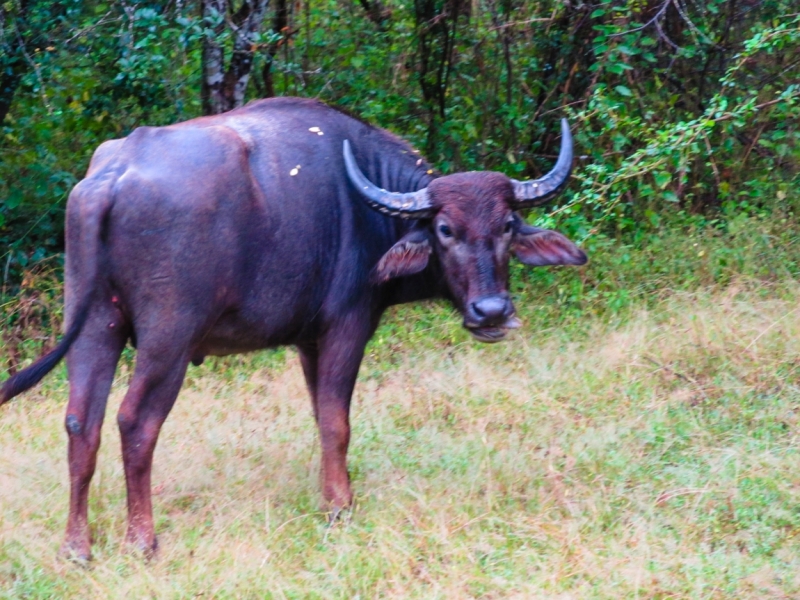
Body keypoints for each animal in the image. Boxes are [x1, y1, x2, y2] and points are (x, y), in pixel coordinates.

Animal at [1, 96, 588, 560]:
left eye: (507, 225)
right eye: (445, 228)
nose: (491, 311)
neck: (370, 211)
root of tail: (112, 176)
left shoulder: (309, 340)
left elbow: (319, 416)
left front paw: (330, 491)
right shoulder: (346, 327)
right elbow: (337, 421)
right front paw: (340, 507)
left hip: (94, 324)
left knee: (82, 422)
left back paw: (77, 546)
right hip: (169, 338)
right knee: (135, 421)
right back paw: (141, 539)